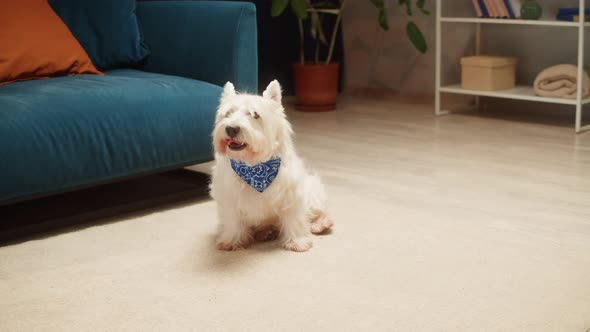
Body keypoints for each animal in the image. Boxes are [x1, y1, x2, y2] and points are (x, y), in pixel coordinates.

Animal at [212, 80, 332, 252]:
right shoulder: (229, 197)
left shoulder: (291, 195)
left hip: (313, 190)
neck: (255, 167)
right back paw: (265, 232)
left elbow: (294, 218)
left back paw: (321, 224)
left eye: (255, 115)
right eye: (227, 113)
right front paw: (231, 241)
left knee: (320, 211)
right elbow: (232, 221)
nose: (231, 128)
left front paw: (298, 241)